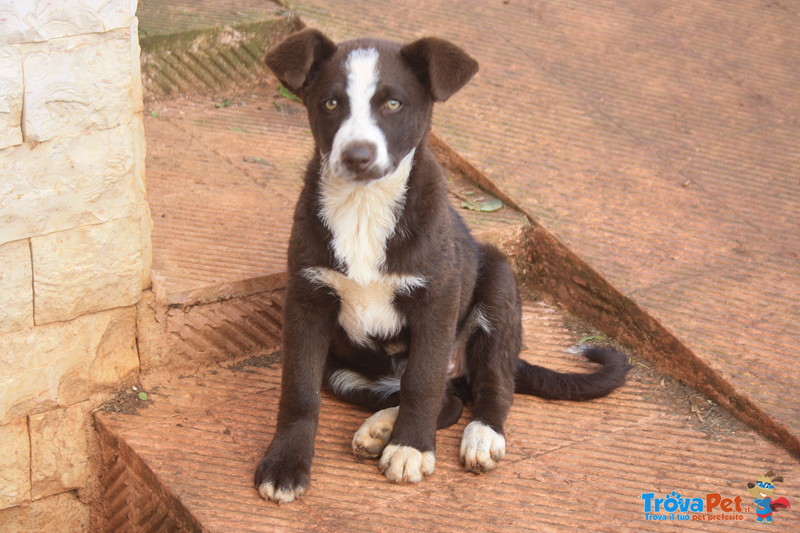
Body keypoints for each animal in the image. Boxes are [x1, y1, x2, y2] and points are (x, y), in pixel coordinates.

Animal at [256, 28, 632, 502]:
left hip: (499, 284)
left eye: (392, 104)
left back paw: (478, 435)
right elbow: (299, 390)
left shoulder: (436, 300)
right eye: (330, 103)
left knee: (488, 385)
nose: (358, 155)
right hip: (344, 373)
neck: (364, 207)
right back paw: (381, 428)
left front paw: (411, 450)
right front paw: (285, 464)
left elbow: (423, 382)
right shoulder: (307, 299)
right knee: (447, 399)